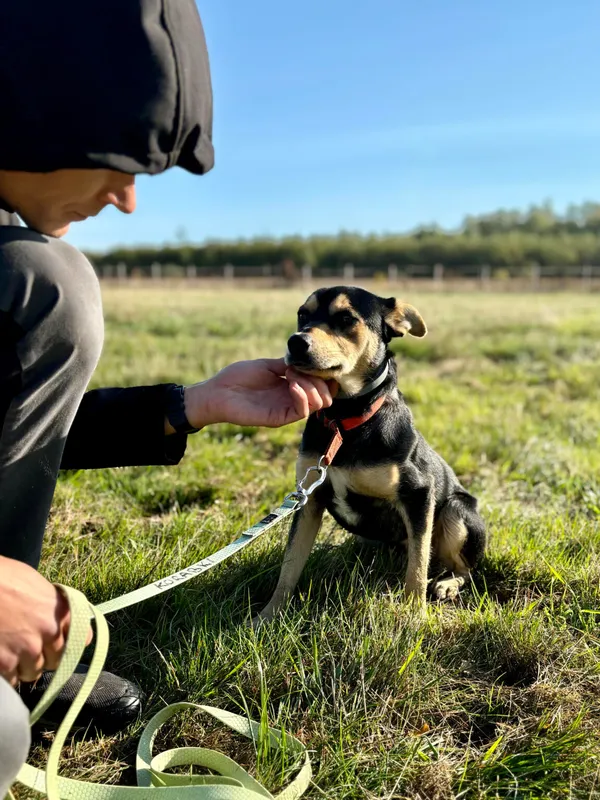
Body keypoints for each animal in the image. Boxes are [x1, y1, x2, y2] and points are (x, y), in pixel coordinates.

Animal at [254, 284, 488, 620]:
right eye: (302, 315)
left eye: (346, 318)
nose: (296, 341)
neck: (344, 418)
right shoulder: (308, 498)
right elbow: (289, 566)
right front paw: (268, 616)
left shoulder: (419, 494)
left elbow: (418, 566)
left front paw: (414, 614)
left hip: (458, 511)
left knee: (463, 567)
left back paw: (447, 584)